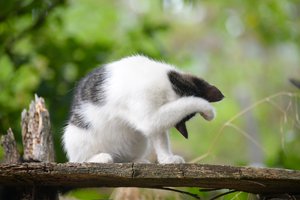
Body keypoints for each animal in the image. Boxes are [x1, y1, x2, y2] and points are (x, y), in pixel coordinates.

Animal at [62, 55, 223, 164]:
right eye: (185, 91)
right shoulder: (147, 114)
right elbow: (186, 104)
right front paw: (208, 110)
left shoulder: (155, 119)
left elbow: (160, 137)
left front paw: (167, 159)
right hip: (76, 136)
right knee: (79, 159)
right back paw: (100, 157)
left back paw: (137, 160)